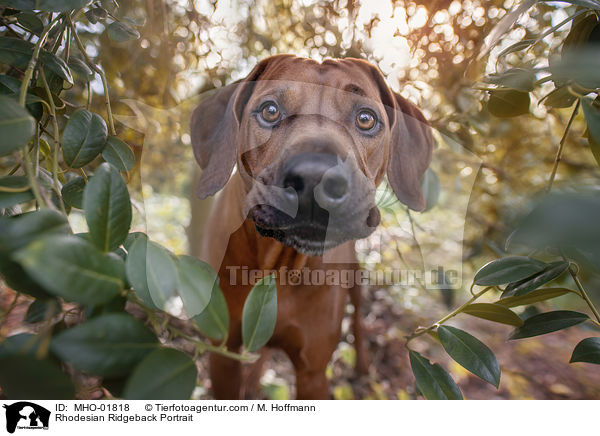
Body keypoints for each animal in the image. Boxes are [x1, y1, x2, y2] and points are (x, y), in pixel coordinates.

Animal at [191, 54, 432, 398]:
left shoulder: (313, 372)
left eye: (366, 118)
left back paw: (362, 365)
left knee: (358, 320)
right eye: (270, 111)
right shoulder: (223, 353)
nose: (316, 178)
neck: (280, 267)